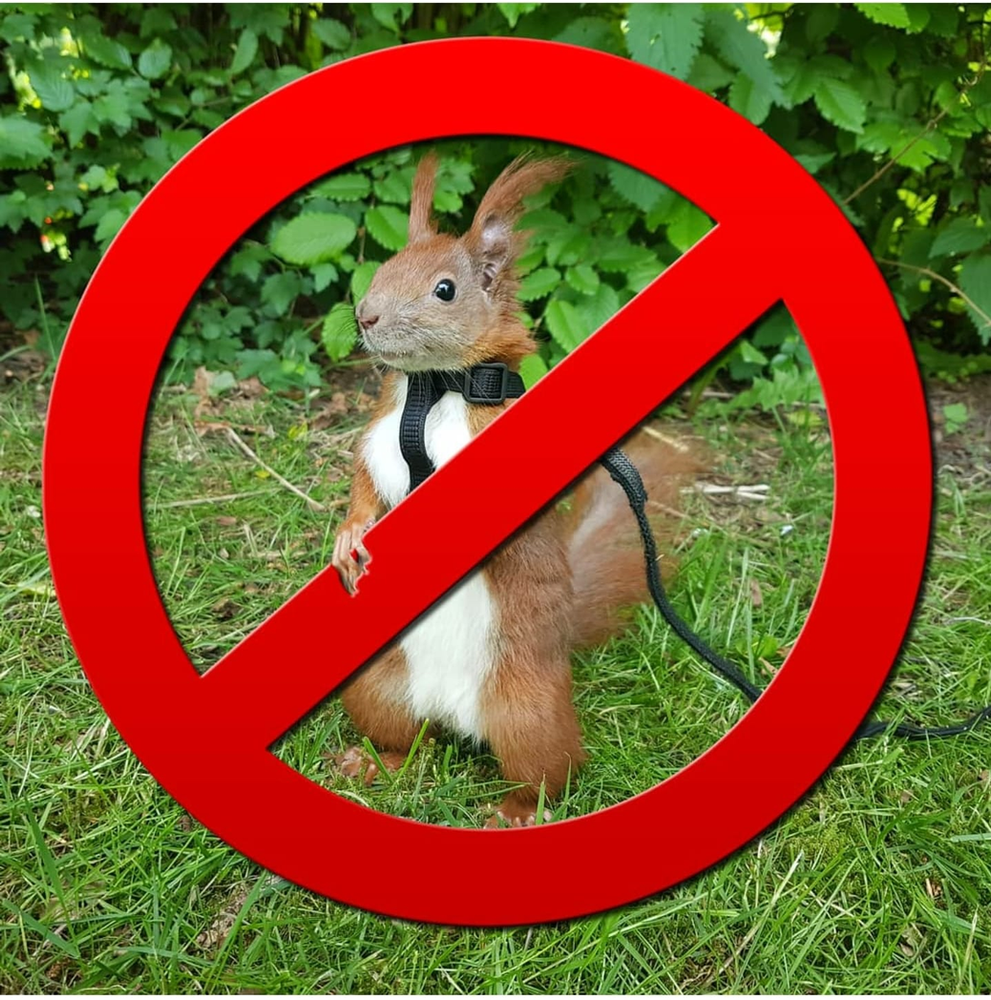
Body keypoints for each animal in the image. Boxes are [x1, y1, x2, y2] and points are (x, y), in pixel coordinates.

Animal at [331, 151, 700, 827]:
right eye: (384, 267)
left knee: (552, 772)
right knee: (408, 740)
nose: (365, 315)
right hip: (377, 689)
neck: (436, 390)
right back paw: (375, 764)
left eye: (445, 289)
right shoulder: (377, 445)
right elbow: (366, 492)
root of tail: (454, 714)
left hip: (528, 715)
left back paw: (518, 812)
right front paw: (348, 541)